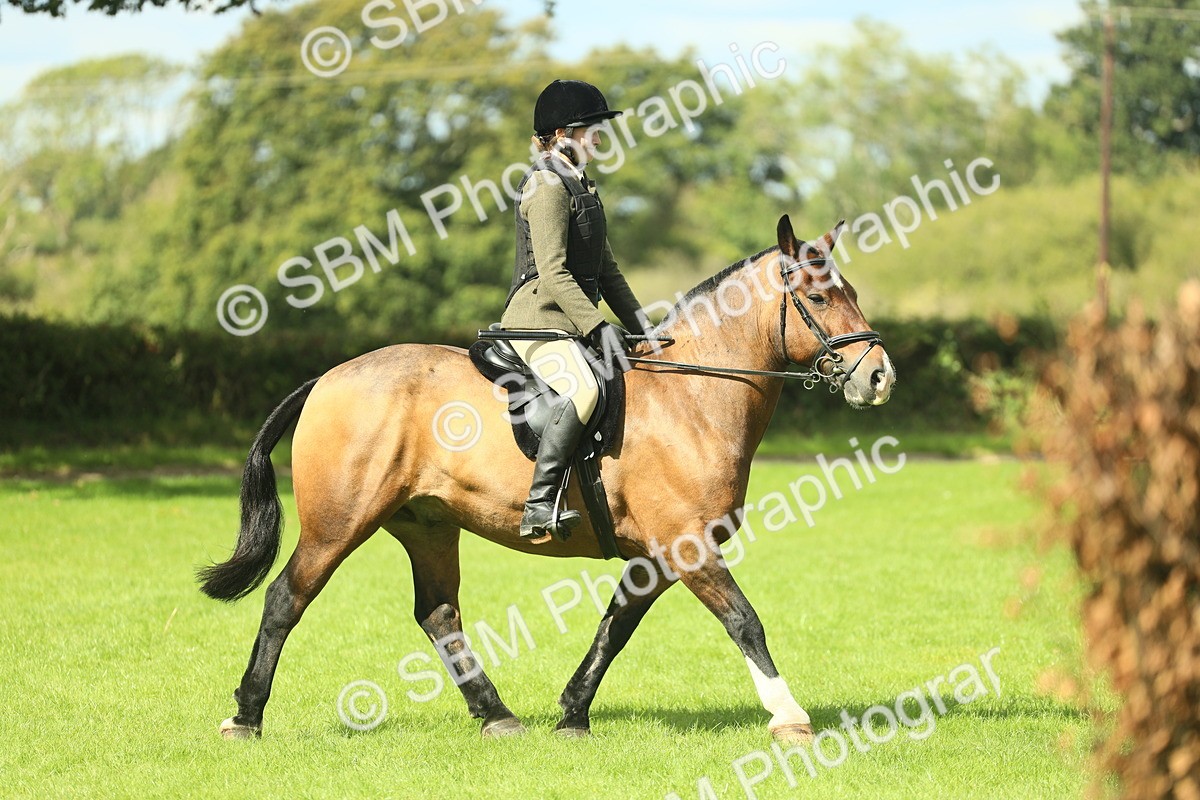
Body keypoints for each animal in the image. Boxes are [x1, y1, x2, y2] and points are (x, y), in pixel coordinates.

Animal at [198, 214, 896, 743]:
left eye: (853, 292)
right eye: (818, 298)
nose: (879, 377)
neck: (692, 397)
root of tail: (327, 377)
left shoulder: (656, 554)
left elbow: (615, 627)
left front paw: (572, 713)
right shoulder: (687, 544)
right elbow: (745, 621)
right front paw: (790, 718)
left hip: (427, 525)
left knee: (439, 613)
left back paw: (497, 715)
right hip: (339, 521)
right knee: (287, 597)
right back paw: (246, 717)